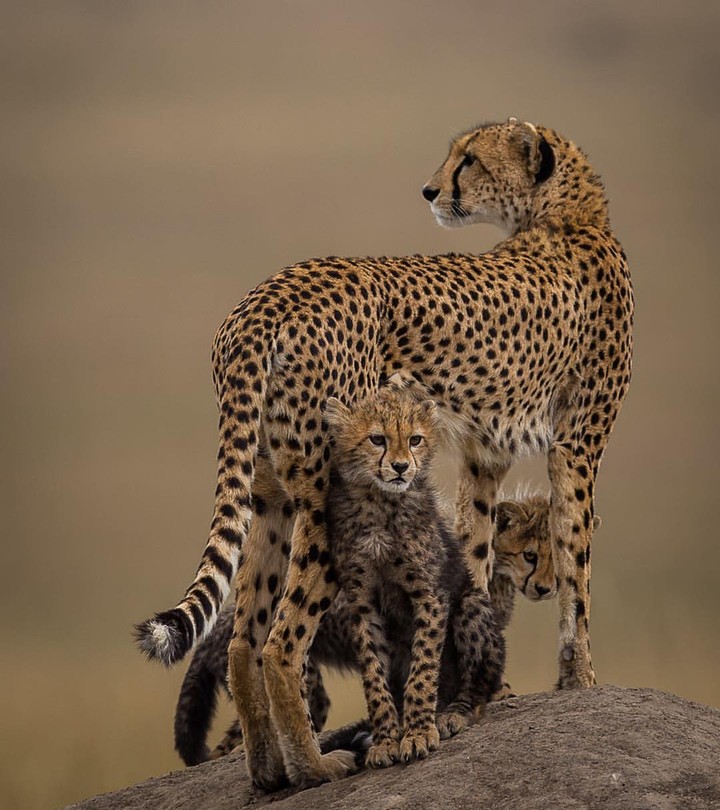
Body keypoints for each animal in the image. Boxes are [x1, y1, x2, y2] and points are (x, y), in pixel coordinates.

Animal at [135, 117, 633, 788]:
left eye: (469, 159)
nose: (430, 190)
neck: (566, 214)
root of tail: (265, 296)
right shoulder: (576, 443)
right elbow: (577, 562)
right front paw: (579, 681)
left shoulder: (483, 452)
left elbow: (475, 548)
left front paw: (477, 688)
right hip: (326, 497)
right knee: (282, 640)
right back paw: (316, 766)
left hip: (270, 492)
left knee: (244, 637)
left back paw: (268, 772)